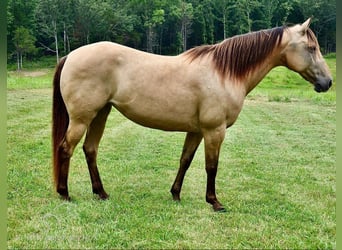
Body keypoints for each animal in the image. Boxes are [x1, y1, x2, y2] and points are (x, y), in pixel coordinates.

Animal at [52, 18, 332, 212]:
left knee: (90, 150)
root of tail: (71, 55)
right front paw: (214, 202)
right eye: (311, 47)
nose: (328, 82)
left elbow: (185, 160)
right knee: (66, 149)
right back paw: (64, 193)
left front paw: (175, 194)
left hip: (101, 114)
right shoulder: (214, 130)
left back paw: (101, 193)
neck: (224, 73)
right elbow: (212, 166)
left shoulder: (196, 130)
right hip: (82, 118)